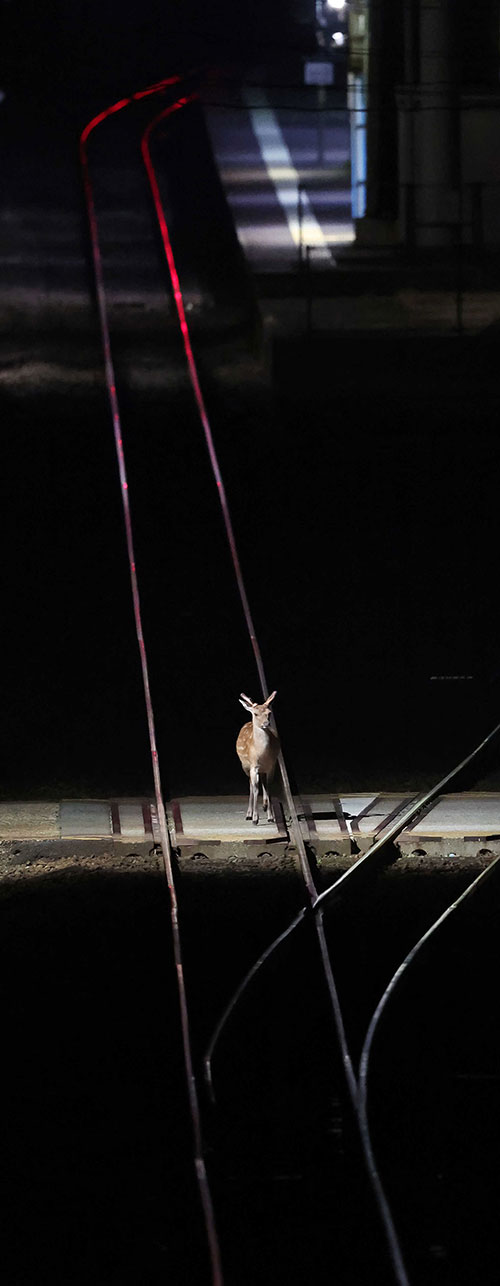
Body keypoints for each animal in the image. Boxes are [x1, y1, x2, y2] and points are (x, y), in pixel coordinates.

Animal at [235, 694, 278, 823]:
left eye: (269, 713)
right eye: (255, 713)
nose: (266, 723)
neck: (262, 755)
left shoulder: (271, 767)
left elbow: (269, 788)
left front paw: (271, 816)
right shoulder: (253, 766)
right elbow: (255, 789)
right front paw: (255, 818)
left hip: (262, 770)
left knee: (263, 784)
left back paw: (266, 808)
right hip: (245, 766)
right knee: (250, 785)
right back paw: (249, 814)